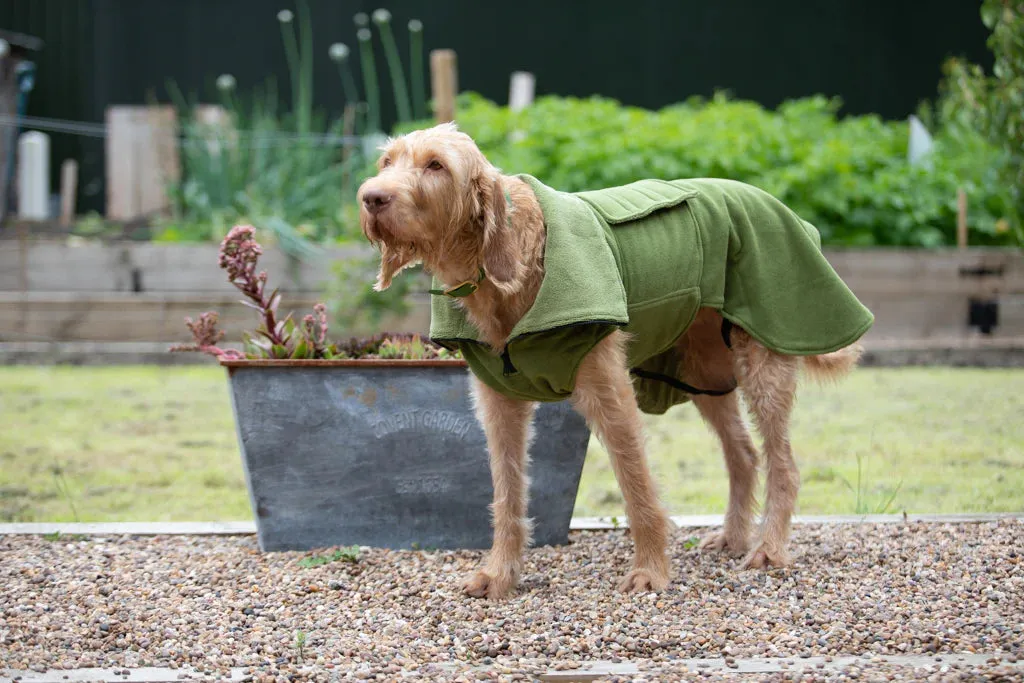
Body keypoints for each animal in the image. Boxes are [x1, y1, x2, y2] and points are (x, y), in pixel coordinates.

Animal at [358, 121, 864, 598]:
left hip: (763, 362)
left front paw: (651, 570)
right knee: (742, 453)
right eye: (386, 161)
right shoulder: (498, 403)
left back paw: (769, 548)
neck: (512, 264)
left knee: (784, 465)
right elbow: (507, 493)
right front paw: (500, 574)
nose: (370, 197)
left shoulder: (609, 391)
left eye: (436, 165)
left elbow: (636, 484)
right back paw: (733, 537)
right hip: (699, 372)